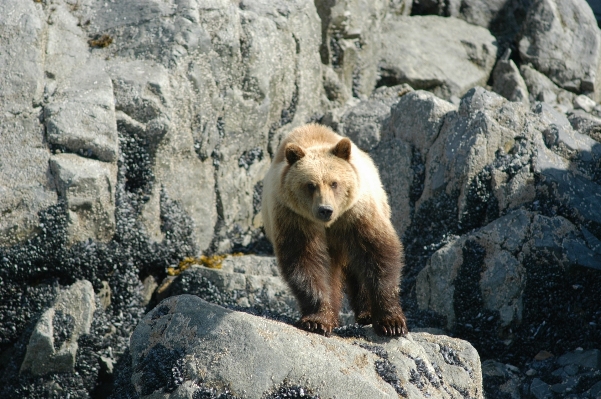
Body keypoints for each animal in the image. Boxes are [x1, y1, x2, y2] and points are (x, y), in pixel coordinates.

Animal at [260, 123, 406, 336]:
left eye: (334, 183)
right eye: (310, 185)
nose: (325, 210)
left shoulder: (356, 214)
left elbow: (377, 255)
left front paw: (391, 323)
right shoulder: (295, 219)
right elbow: (305, 262)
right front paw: (318, 320)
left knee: (356, 268)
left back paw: (366, 314)